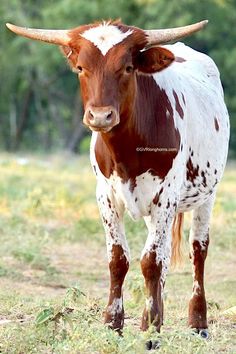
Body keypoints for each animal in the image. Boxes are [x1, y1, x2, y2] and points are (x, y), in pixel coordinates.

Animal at [6, 20, 229, 346]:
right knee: (163, 254)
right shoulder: (106, 196)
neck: (128, 149)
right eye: (81, 68)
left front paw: (150, 332)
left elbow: (150, 262)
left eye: (127, 67)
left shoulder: (166, 196)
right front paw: (114, 324)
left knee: (197, 250)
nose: (100, 116)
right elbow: (119, 258)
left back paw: (197, 322)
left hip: (206, 195)